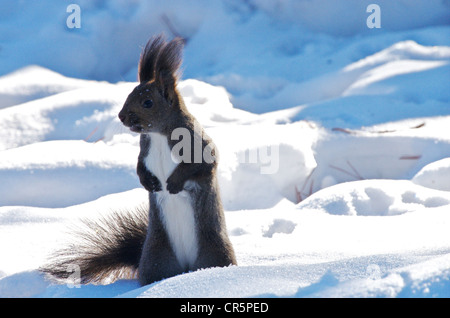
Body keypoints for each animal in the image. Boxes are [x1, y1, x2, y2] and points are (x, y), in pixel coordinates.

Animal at [40, 34, 237, 286]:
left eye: (147, 103)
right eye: (129, 94)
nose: (121, 116)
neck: (159, 133)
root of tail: (186, 268)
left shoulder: (199, 145)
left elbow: (202, 165)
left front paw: (173, 183)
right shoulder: (144, 149)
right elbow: (139, 166)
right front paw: (148, 182)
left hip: (214, 251)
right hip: (157, 256)